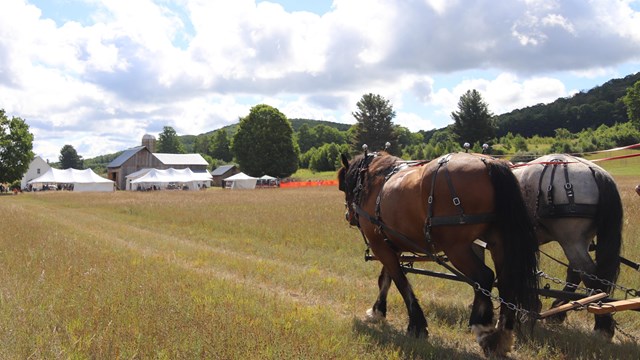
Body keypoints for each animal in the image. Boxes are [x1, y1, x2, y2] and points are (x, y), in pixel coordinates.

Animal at [338, 150, 544, 356]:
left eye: (344, 186)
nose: (348, 215)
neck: (375, 181)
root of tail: (488, 162)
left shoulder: (379, 244)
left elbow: (400, 282)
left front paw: (416, 325)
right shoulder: (390, 244)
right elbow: (385, 279)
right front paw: (377, 311)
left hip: (456, 247)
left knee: (484, 277)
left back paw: (483, 328)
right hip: (497, 241)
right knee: (507, 280)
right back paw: (502, 336)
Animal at [512, 154, 624, 338]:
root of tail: (595, 171)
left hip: (571, 240)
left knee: (589, 274)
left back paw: (602, 324)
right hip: (581, 240)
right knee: (576, 273)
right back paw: (558, 311)